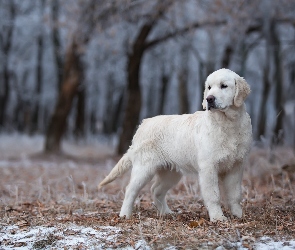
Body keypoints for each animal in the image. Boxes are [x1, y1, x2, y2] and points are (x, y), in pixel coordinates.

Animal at [100, 68, 253, 221]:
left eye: (223, 86)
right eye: (209, 87)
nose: (209, 99)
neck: (228, 124)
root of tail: (143, 124)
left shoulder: (236, 166)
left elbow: (235, 194)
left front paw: (238, 215)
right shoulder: (208, 167)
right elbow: (214, 195)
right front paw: (218, 218)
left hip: (170, 172)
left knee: (155, 190)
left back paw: (166, 212)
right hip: (144, 168)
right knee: (130, 190)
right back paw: (125, 214)